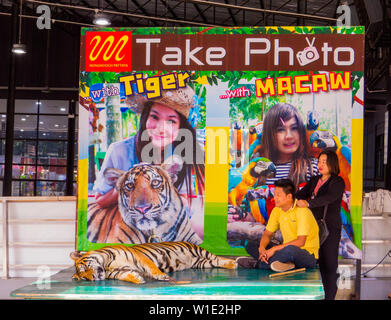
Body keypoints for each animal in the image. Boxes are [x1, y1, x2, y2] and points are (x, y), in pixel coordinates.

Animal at [70, 241, 237, 284]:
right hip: (200, 262)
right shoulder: (118, 272)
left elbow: (152, 268)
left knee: (217, 257)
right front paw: (137, 279)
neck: (106, 265)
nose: (93, 278)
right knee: (214, 261)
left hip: (199, 251)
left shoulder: (140, 258)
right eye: (84, 277)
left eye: (85, 267)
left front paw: (162, 276)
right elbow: (126, 275)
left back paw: (234, 262)